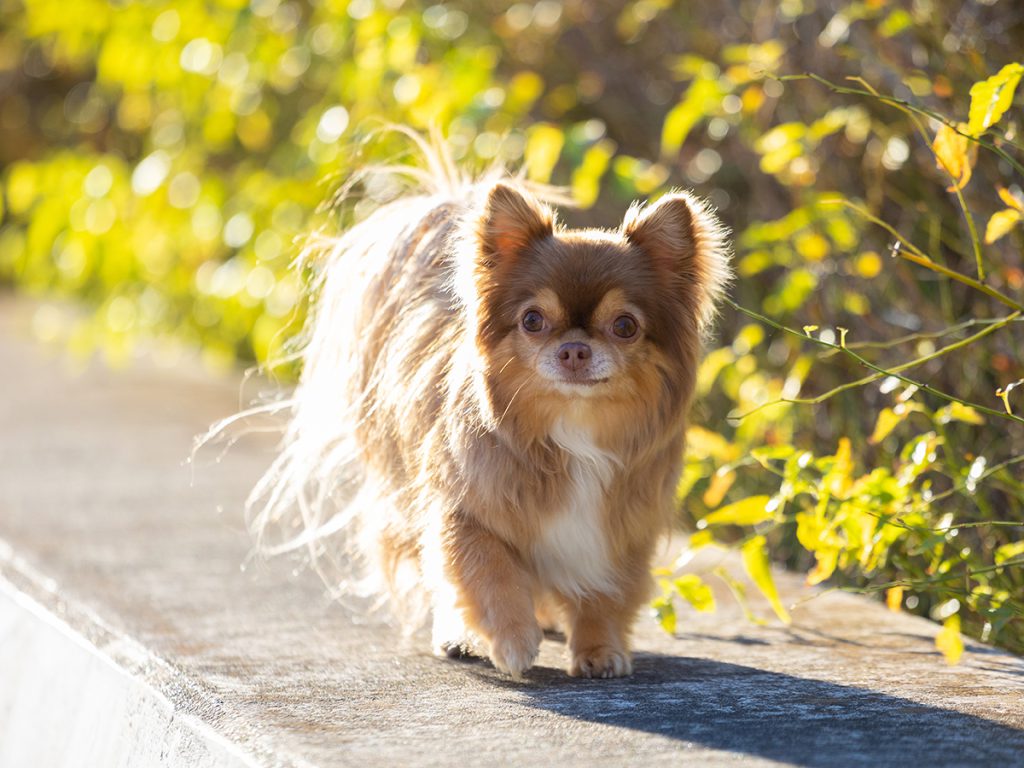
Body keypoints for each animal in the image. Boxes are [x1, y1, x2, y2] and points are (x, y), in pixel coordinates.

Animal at [241, 140, 729, 679]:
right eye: (533, 320)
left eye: (625, 326)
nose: (574, 349)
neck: (572, 432)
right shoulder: (465, 511)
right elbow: (489, 574)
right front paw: (512, 640)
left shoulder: (618, 533)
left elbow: (605, 594)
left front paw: (600, 649)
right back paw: (460, 635)